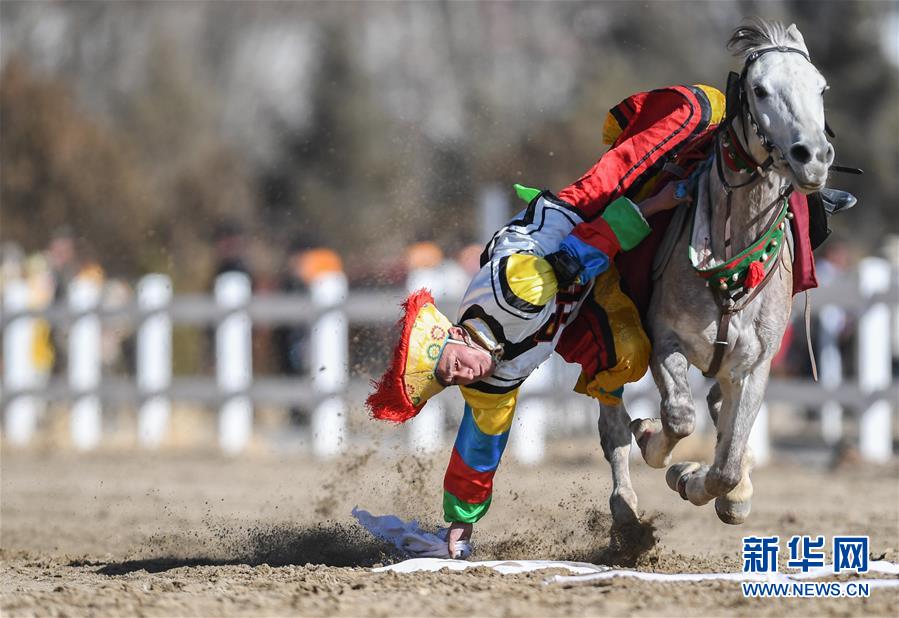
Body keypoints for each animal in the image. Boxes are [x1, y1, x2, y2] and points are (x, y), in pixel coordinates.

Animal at [596, 18, 836, 524]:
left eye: (821, 88)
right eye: (760, 90)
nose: (812, 156)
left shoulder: (755, 365)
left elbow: (726, 463)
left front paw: (703, 481)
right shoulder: (665, 339)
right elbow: (677, 417)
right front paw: (657, 445)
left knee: (719, 412)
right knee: (612, 423)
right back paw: (625, 504)